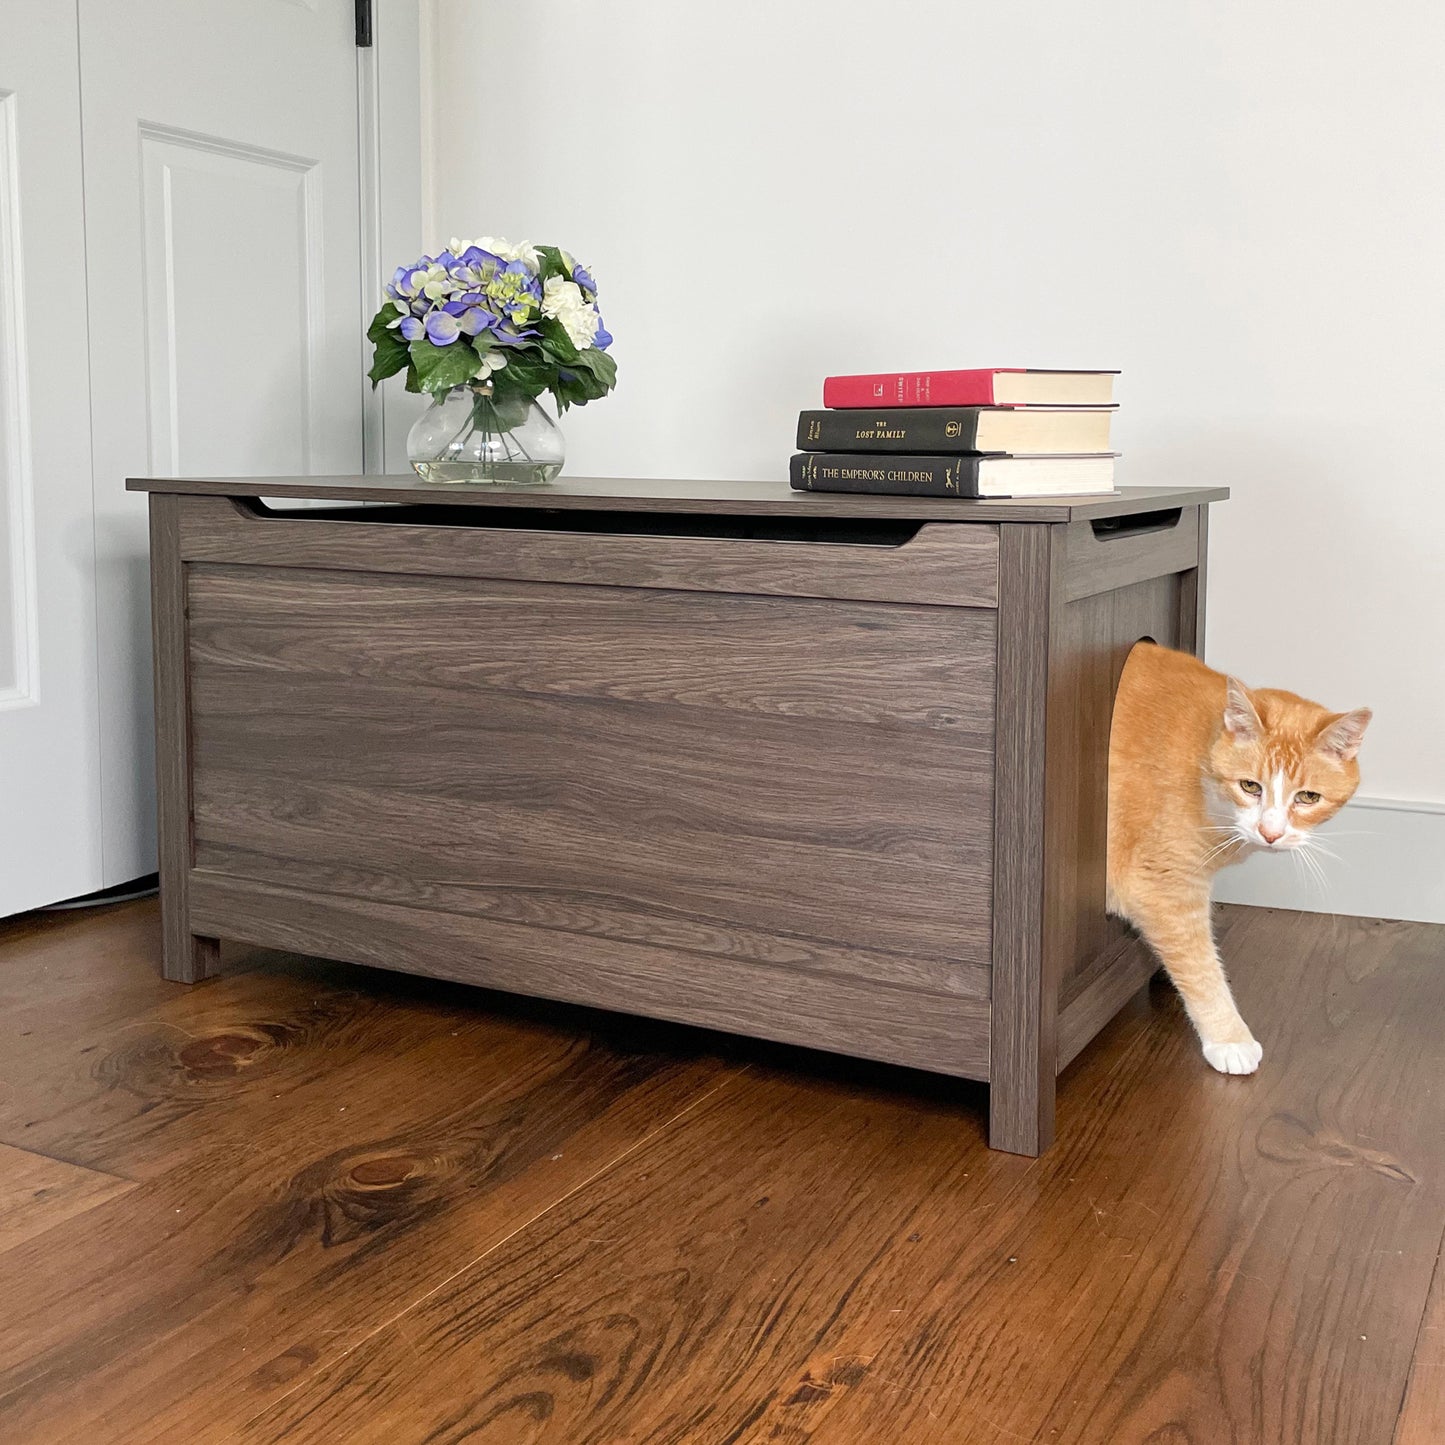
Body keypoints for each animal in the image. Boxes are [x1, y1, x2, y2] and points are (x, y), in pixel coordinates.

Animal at [1103, 644, 1364, 1075]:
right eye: (1250, 786)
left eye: (1308, 797)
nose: (1271, 833)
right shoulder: (1164, 884)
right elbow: (1201, 965)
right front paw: (1230, 1040)